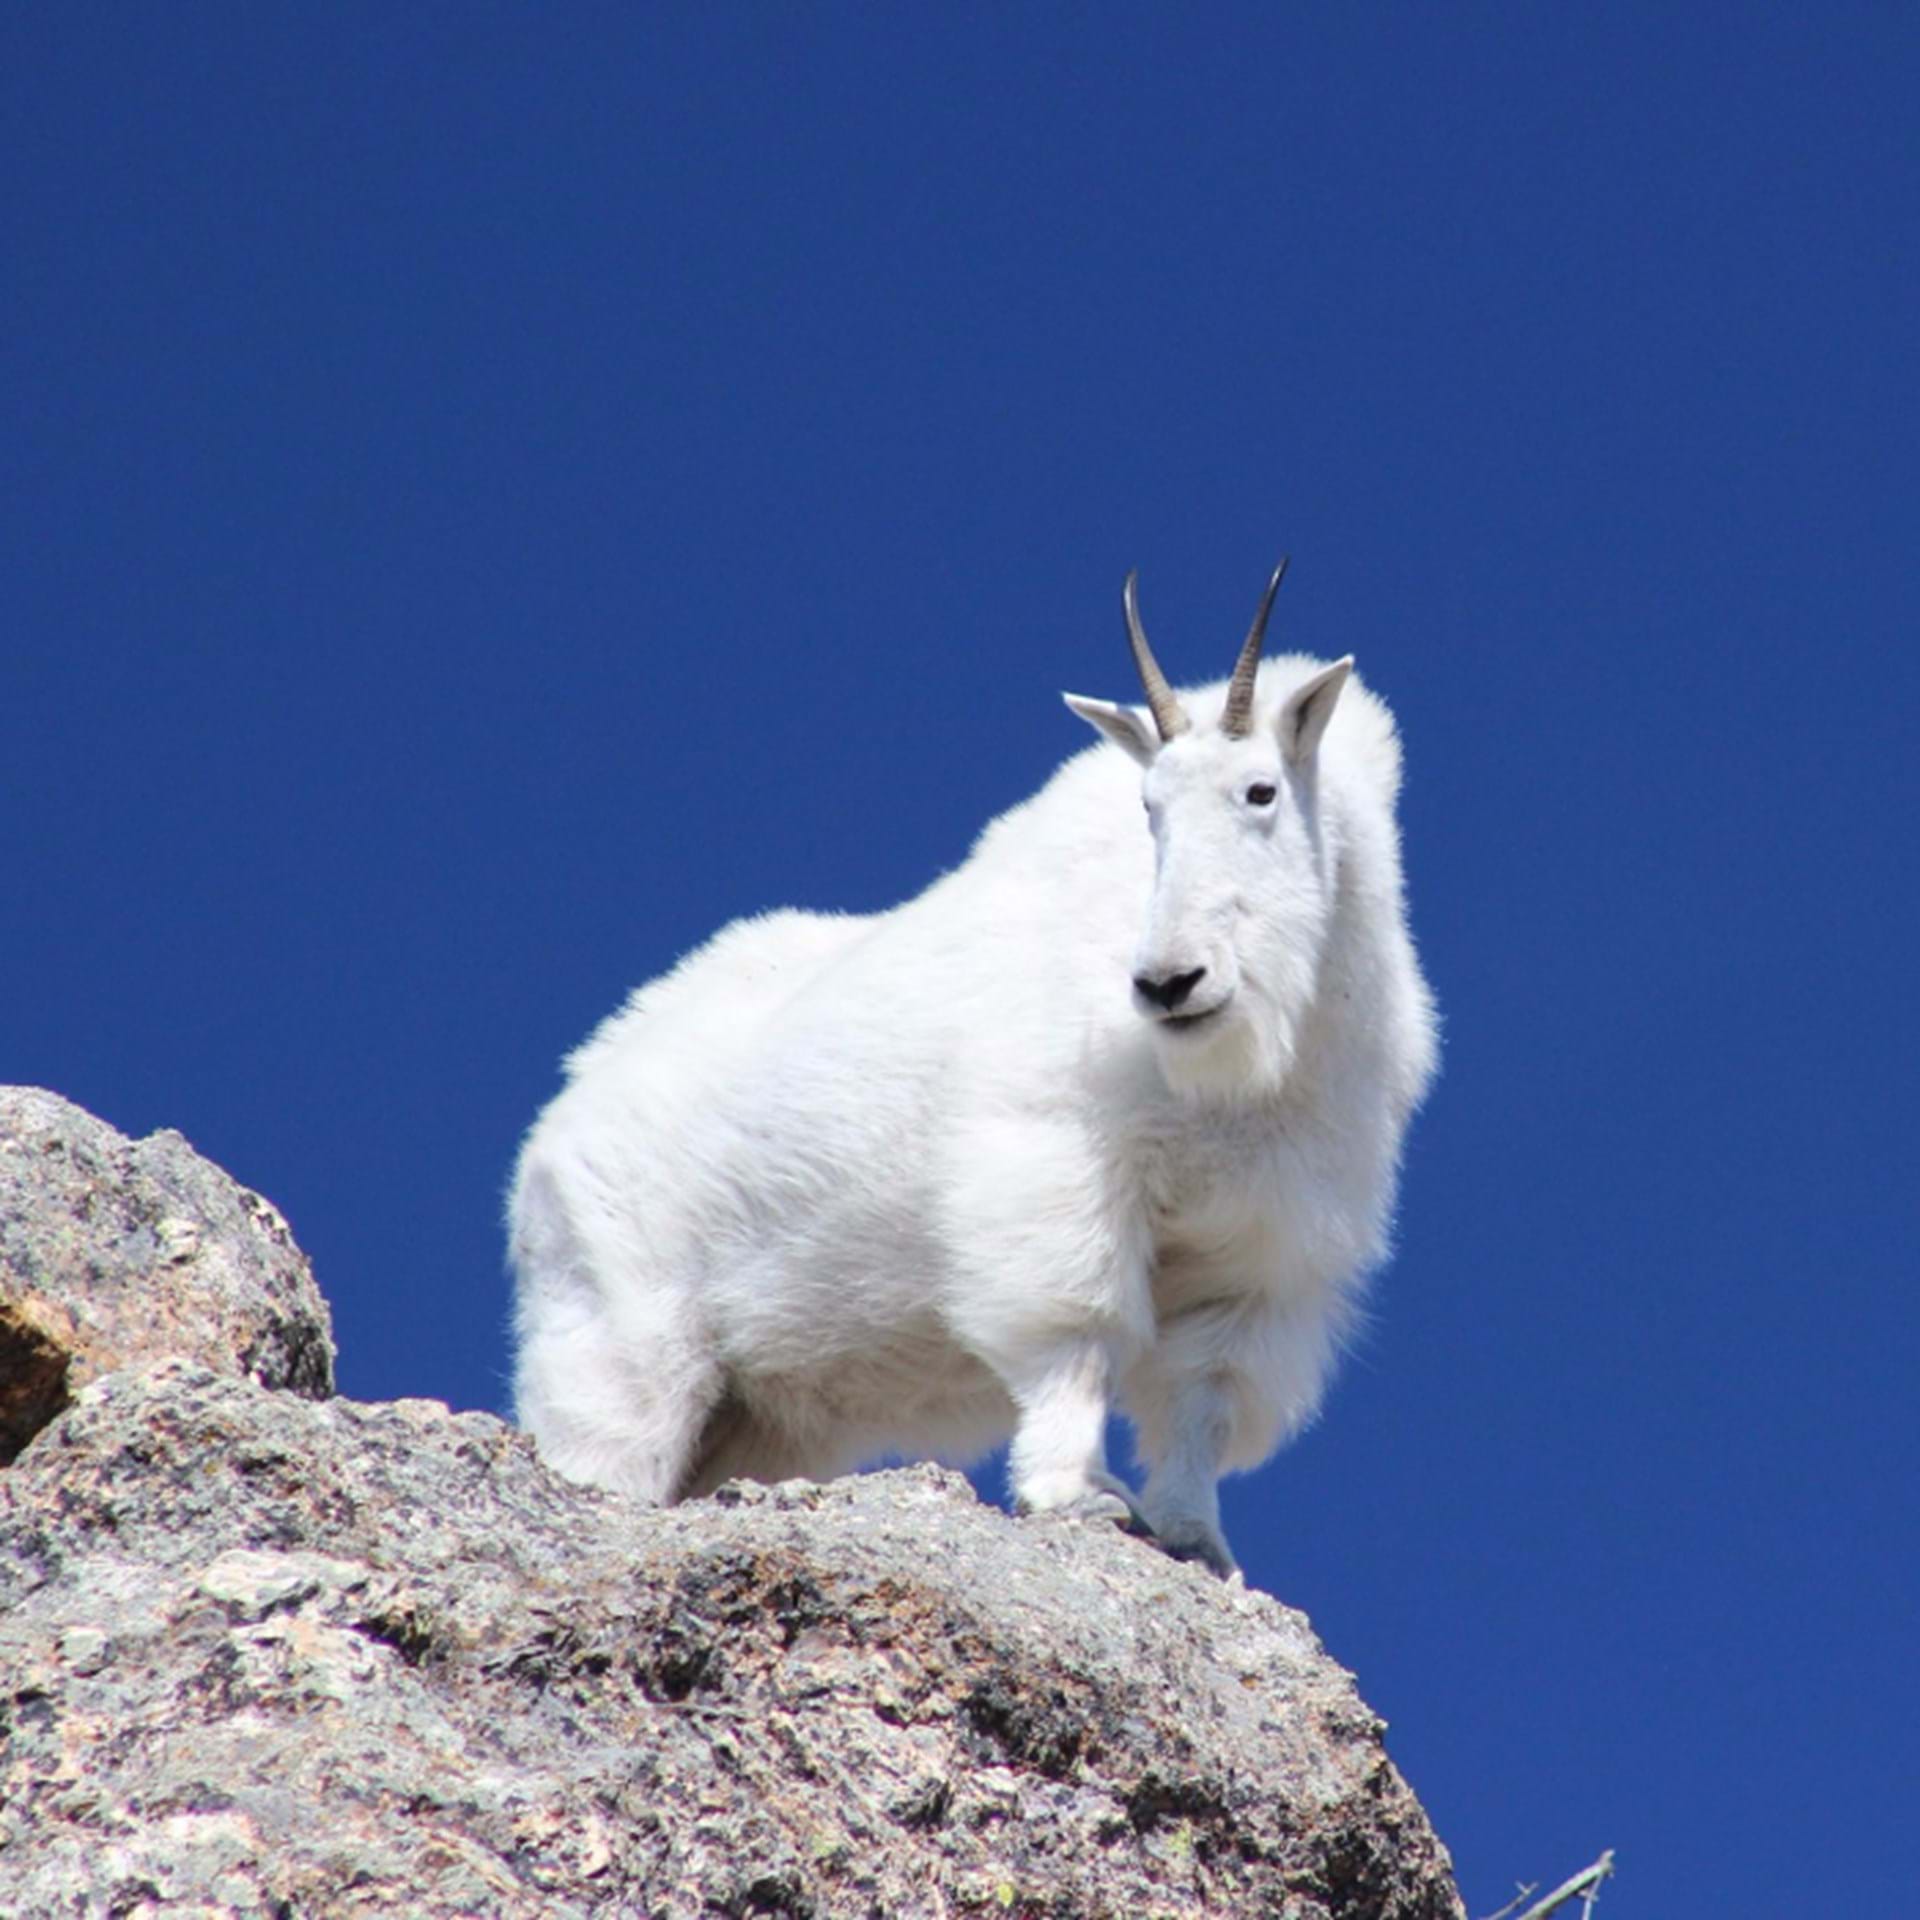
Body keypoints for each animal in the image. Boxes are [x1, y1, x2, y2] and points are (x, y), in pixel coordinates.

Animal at [508, 562, 1437, 1575]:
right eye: (1147, 808)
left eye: (1261, 792)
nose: (1168, 984)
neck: (1248, 1062)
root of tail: (554, 1126)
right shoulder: (1062, 1173)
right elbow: (1078, 1338)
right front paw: (1078, 1496)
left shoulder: (1256, 1250)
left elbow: (1204, 1397)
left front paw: (1197, 1542)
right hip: (617, 1334)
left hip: (754, 1411)